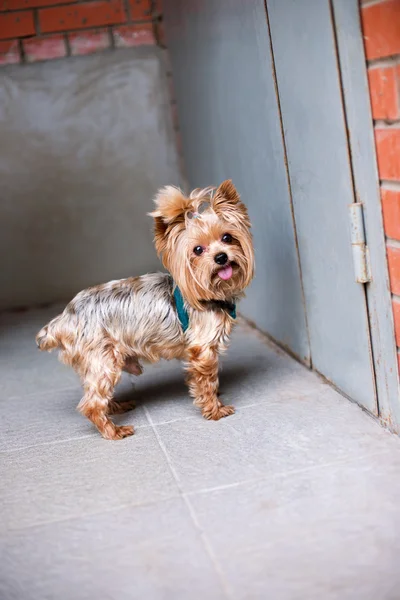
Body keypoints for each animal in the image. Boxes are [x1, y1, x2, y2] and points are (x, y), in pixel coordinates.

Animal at [38, 180, 256, 438]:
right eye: (198, 250)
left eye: (227, 237)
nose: (221, 257)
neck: (212, 292)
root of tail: (63, 319)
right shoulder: (202, 350)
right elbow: (206, 381)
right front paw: (214, 409)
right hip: (103, 359)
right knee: (91, 404)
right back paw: (114, 431)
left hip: (94, 363)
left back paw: (116, 407)